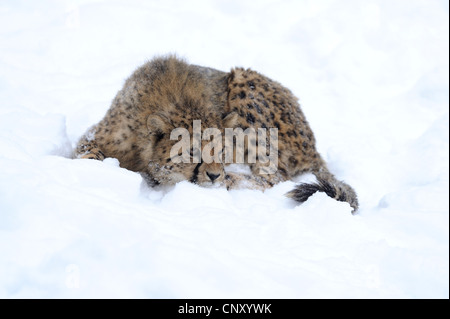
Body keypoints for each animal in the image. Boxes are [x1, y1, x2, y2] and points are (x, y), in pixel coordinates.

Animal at [74, 55, 358, 212]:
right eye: (191, 152)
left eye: (221, 151)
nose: (213, 175)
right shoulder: (98, 134)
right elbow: (87, 152)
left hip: (244, 86)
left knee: (273, 177)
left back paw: (231, 179)